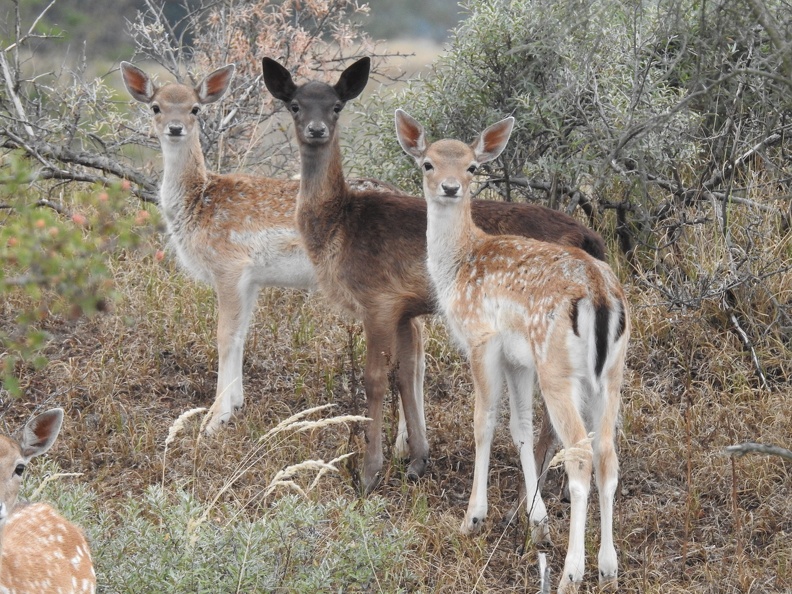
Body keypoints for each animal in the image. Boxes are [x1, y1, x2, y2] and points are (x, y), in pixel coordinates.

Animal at [260, 55, 608, 492]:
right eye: (295, 105)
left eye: (336, 105)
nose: (317, 129)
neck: (339, 227)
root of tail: (588, 235)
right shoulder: (404, 309)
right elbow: (407, 374)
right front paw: (417, 459)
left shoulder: (378, 300)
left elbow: (376, 378)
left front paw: (370, 472)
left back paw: (543, 480)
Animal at [396, 108, 632, 588]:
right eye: (428, 163)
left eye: (472, 167)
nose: (450, 187)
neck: (457, 266)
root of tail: (601, 294)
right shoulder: (516, 360)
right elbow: (519, 427)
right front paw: (536, 523)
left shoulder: (481, 340)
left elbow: (484, 421)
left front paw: (473, 517)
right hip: (611, 373)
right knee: (607, 456)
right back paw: (609, 568)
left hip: (557, 370)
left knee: (579, 456)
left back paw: (571, 574)